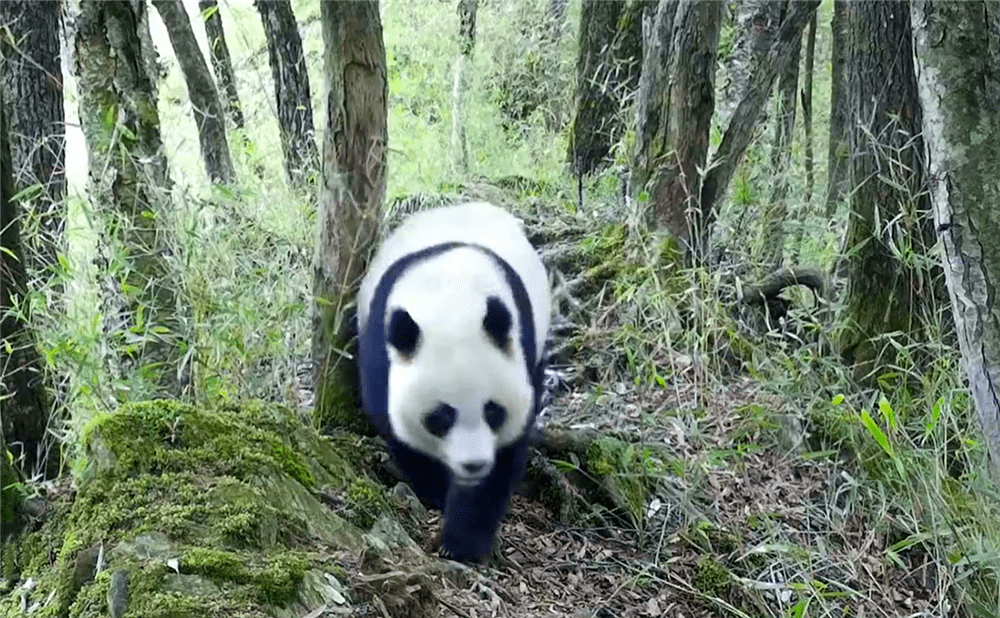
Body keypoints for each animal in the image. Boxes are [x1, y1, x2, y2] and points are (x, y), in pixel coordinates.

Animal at [356, 200, 552, 560]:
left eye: (493, 411)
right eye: (440, 416)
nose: (473, 464)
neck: (451, 302)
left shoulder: (520, 351)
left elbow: (504, 457)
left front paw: (464, 542)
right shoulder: (380, 351)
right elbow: (399, 432)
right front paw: (436, 490)